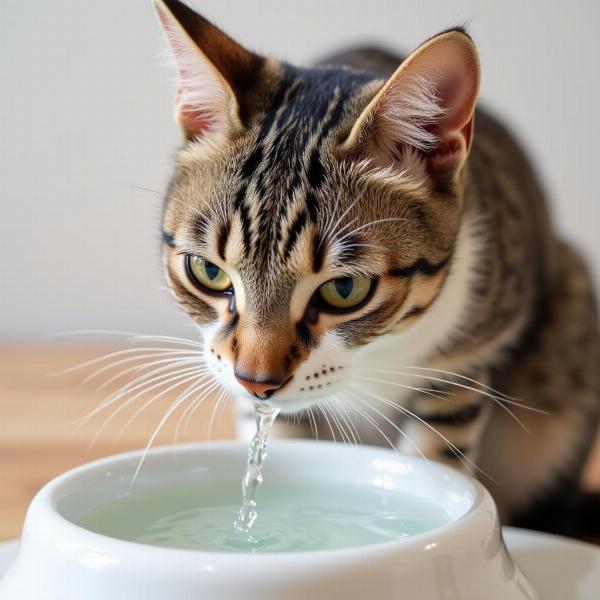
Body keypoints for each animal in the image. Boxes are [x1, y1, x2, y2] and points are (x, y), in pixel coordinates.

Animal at [152, 0, 600, 536]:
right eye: (208, 271)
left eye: (344, 288)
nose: (255, 381)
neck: (373, 357)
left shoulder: (465, 360)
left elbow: (436, 455)